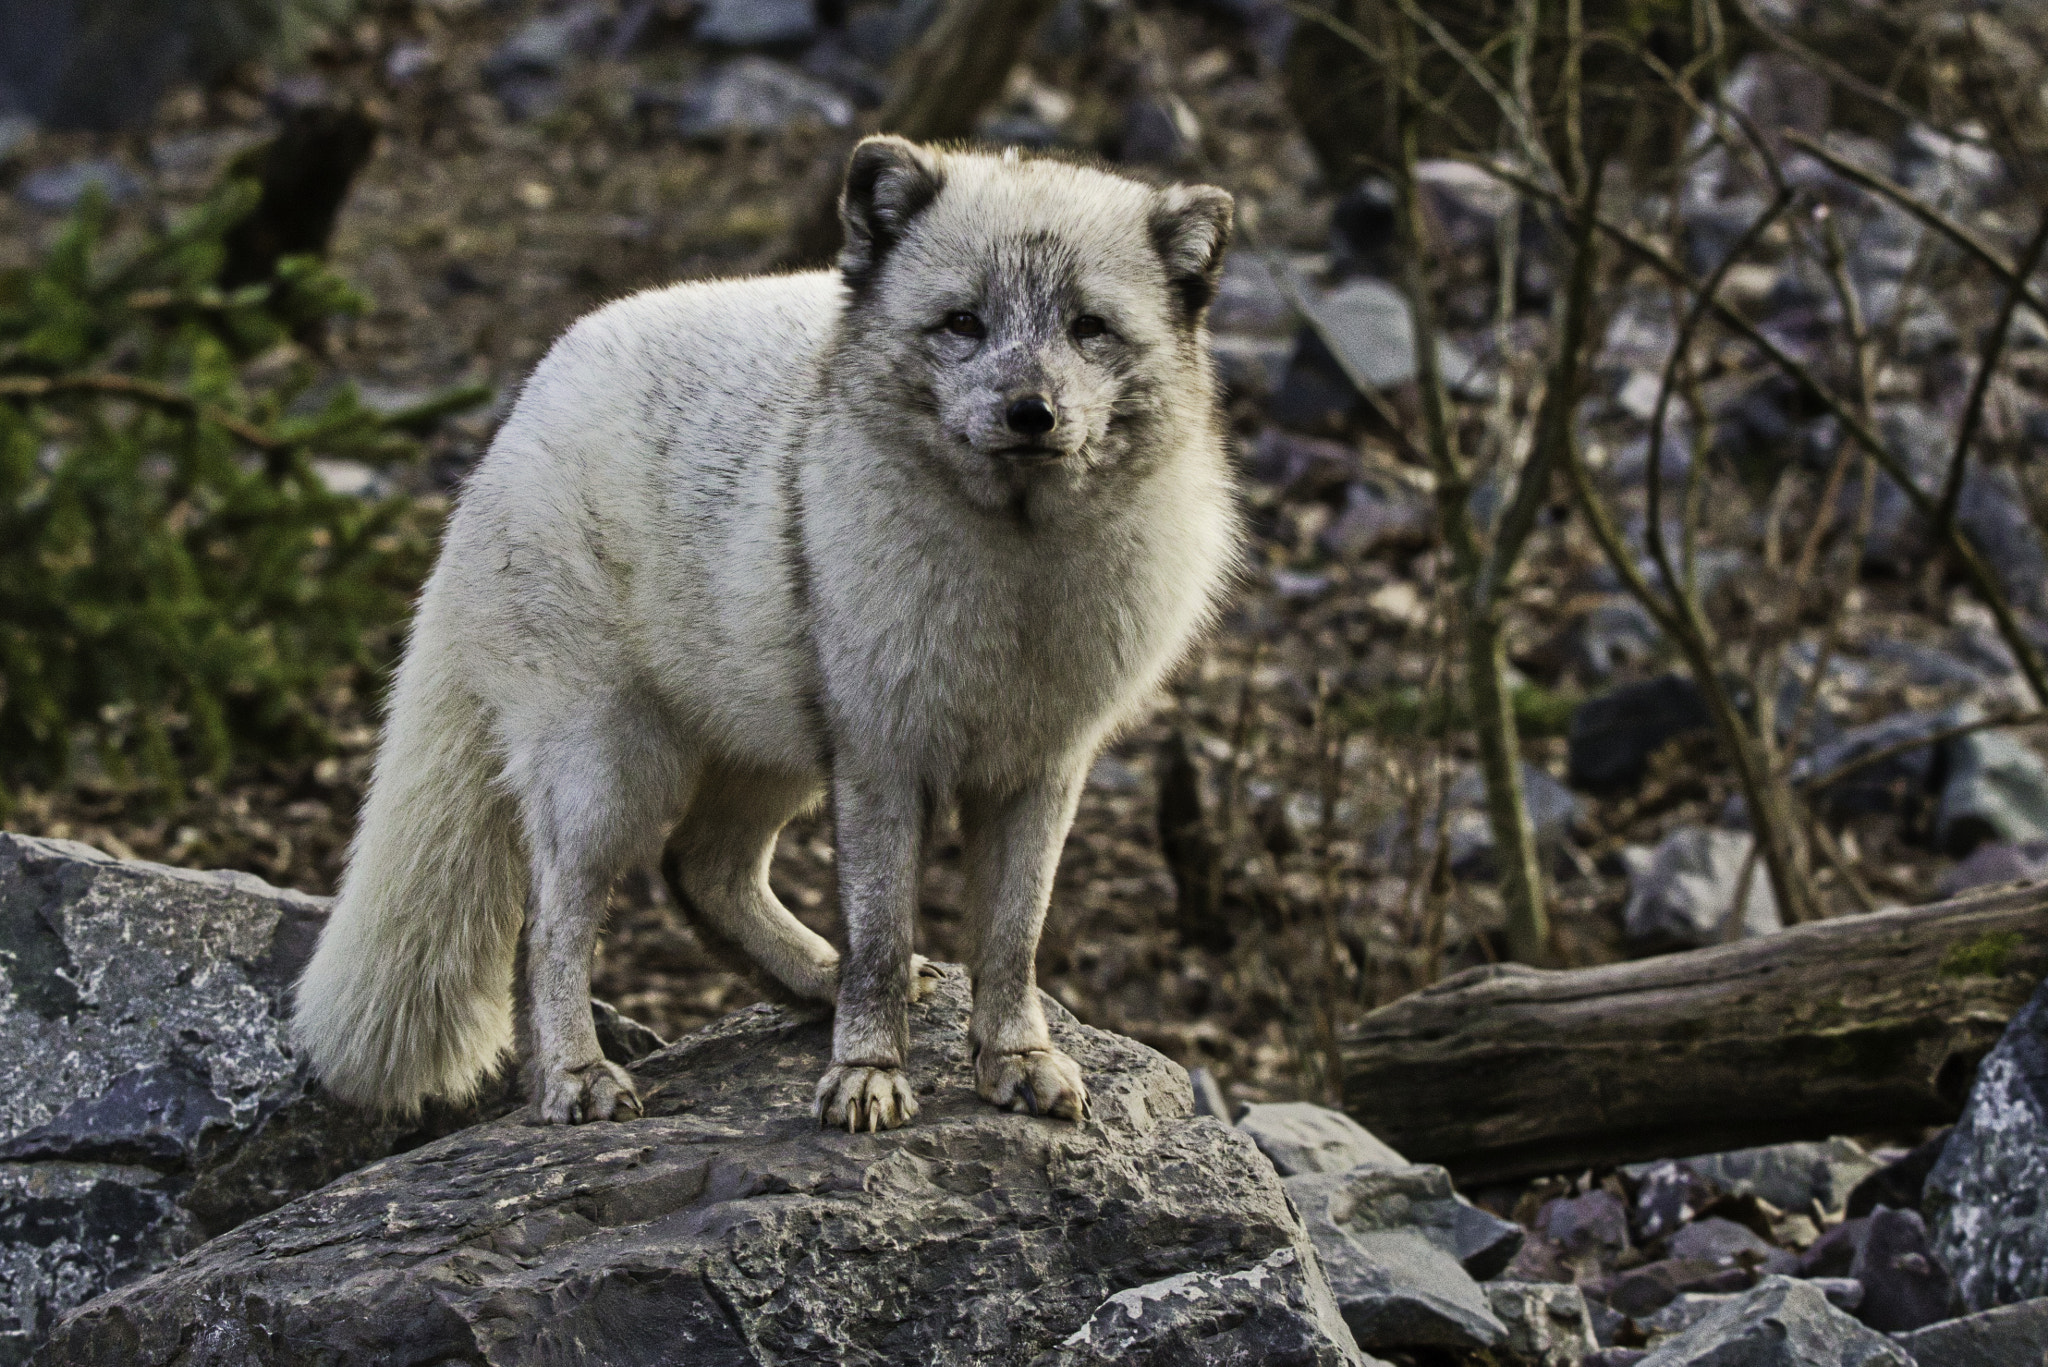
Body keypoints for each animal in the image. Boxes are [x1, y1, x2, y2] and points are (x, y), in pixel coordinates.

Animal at [291, 136, 1242, 1132]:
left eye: (1090, 327)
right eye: (962, 323)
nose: (1032, 412)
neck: (1018, 583)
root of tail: (528, 398)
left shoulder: (1044, 765)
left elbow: (1014, 938)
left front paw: (1015, 1056)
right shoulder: (881, 754)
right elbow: (881, 929)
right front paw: (868, 1070)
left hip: (774, 748)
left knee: (700, 869)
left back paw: (815, 981)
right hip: (610, 768)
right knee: (553, 922)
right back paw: (578, 1074)